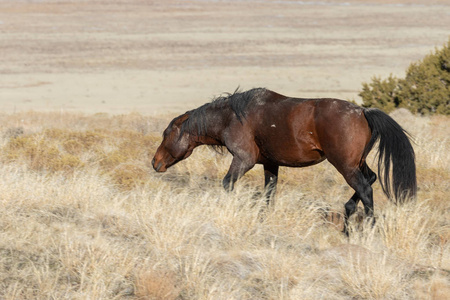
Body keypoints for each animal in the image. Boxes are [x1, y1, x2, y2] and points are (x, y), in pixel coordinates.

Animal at [153, 88, 416, 234]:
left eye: (166, 134)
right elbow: (269, 194)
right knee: (369, 180)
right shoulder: (270, 164)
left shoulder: (243, 159)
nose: (155, 163)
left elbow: (228, 184)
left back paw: (368, 229)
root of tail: (363, 112)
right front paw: (263, 219)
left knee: (365, 189)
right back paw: (346, 224)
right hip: (357, 163)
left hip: (345, 165)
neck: (231, 117)